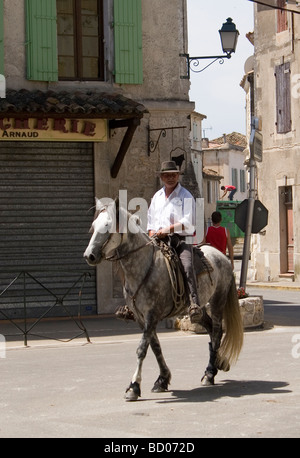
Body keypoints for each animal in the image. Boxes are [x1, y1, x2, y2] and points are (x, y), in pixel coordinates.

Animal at [84, 199, 244, 398]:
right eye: (93, 226)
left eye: (107, 226)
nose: (89, 256)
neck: (143, 267)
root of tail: (222, 256)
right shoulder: (141, 317)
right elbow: (155, 347)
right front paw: (162, 379)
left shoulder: (152, 314)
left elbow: (142, 349)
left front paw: (134, 386)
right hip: (201, 309)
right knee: (209, 329)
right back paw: (213, 367)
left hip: (217, 302)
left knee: (216, 332)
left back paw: (209, 374)